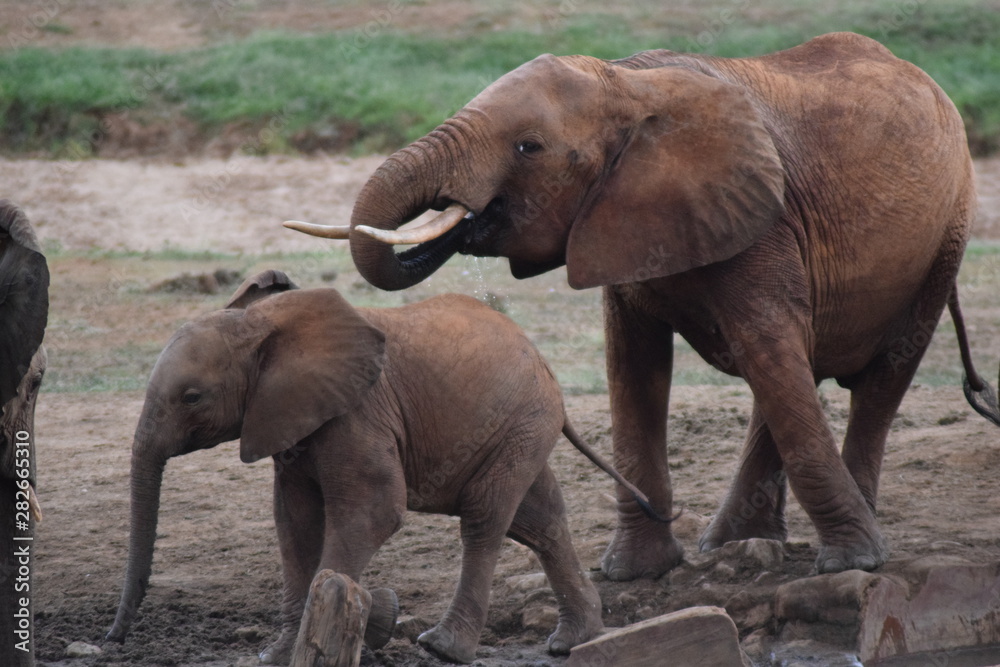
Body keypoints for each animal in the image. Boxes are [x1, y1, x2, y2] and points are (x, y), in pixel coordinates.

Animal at [106, 269, 665, 664]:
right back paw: (572, 642)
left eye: (192, 397)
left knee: (485, 519)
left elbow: (372, 511)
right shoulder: (289, 420)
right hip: (520, 427)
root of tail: (542, 361)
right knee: (539, 522)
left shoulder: (358, 413)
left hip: (523, 420)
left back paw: (443, 647)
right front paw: (278, 655)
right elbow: (294, 523)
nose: (114, 640)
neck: (263, 326)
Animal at [286, 32, 1000, 578]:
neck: (628, 83)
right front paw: (634, 572)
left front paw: (852, 565)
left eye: (528, 147)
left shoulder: (759, 222)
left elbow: (763, 346)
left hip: (947, 233)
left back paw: (845, 542)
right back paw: (738, 545)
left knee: (874, 375)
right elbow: (634, 367)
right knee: (789, 378)